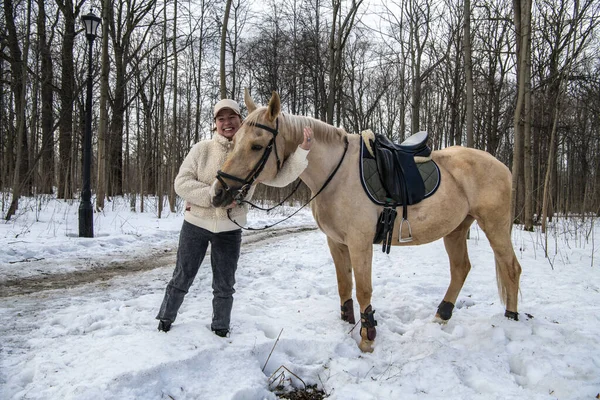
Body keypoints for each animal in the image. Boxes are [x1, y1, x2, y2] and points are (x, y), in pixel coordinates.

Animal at [211, 90, 520, 354]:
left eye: (257, 145)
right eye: (234, 141)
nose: (219, 193)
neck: (336, 174)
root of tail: (502, 165)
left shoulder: (360, 243)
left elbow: (363, 289)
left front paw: (367, 338)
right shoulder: (336, 242)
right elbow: (344, 285)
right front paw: (348, 324)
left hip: (494, 225)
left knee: (511, 268)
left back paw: (511, 317)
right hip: (456, 229)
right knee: (461, 269)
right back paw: (441, 315)